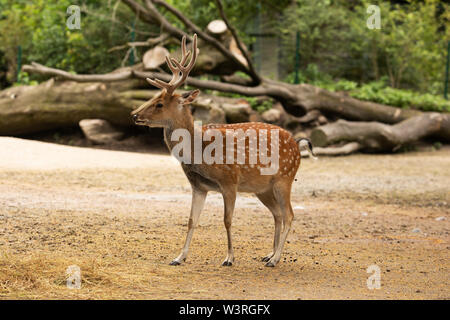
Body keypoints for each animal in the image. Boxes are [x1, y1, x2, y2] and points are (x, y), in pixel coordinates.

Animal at [130, 33, 314, 266]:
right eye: (153, 98)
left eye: (160, 104)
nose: (134, 115)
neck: (198, 153)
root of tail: (298, 144)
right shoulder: (198, 186)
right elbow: (191, 220)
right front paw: (179, 257)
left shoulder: (229, 181)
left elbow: (227, 220)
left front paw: (229, 258)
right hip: (262, 188)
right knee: (278, 215)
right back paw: (269, 254)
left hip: (285, 178)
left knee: (289, 215)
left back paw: (275, 259)